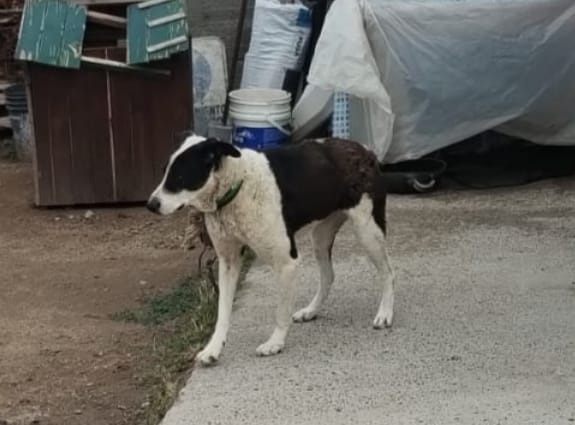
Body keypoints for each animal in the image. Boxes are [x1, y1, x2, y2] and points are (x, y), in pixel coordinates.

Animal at [147, 135, 396, 364]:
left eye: (180, 177)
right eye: (164, 173)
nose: (150, 205)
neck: (238, 184)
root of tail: (363, 149)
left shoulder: (287, 263)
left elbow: (281, 312)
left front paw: (275, 343)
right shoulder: (228, 263)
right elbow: (222, 312)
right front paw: (214, 348)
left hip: (368, 231)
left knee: (387, 272)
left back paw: (385, 313)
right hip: (320, 236)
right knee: (328, 275)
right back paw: (311, 310)